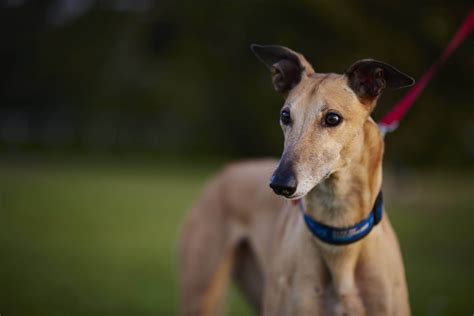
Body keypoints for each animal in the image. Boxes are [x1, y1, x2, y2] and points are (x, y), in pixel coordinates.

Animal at [180, 44, 412, 316]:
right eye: (285, 115)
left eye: (333, 118)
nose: (280, 184)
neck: (338, 236)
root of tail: (224, 173)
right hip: (203, 291)